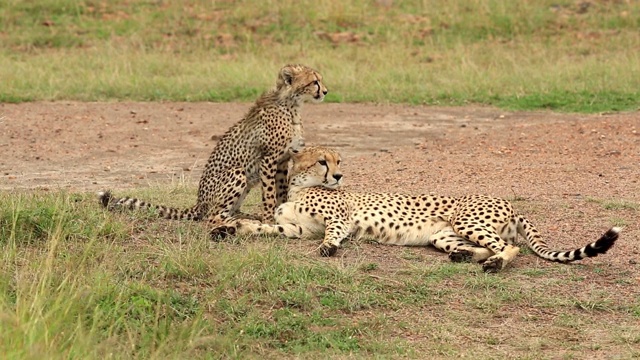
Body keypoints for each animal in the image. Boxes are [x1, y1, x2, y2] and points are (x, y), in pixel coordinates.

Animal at [101, 63, 330, 224]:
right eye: (314, 81)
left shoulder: (282, 160)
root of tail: (199, 203)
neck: (291, 105)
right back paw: (238, 219)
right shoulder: (269, 159)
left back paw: (245, 215)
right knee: (213, 215)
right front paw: (268, 217)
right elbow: (269, 193)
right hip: (237, 172)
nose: (326, 91)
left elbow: (280, 190)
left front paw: (280, 212)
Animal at [214, 145, 620, 272]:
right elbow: (265, 227)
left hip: (467, 219)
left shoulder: (339, 218)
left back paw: (493, 264)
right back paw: (465, 257)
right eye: (322, 162)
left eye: (338, 160)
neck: (300, 188)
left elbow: (333, 233)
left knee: (509, 247)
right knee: (475, 247)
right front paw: (231, 227)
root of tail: (505, 200)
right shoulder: (296, 229)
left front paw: (329, 248)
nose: (340, 175)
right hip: (444, 236)